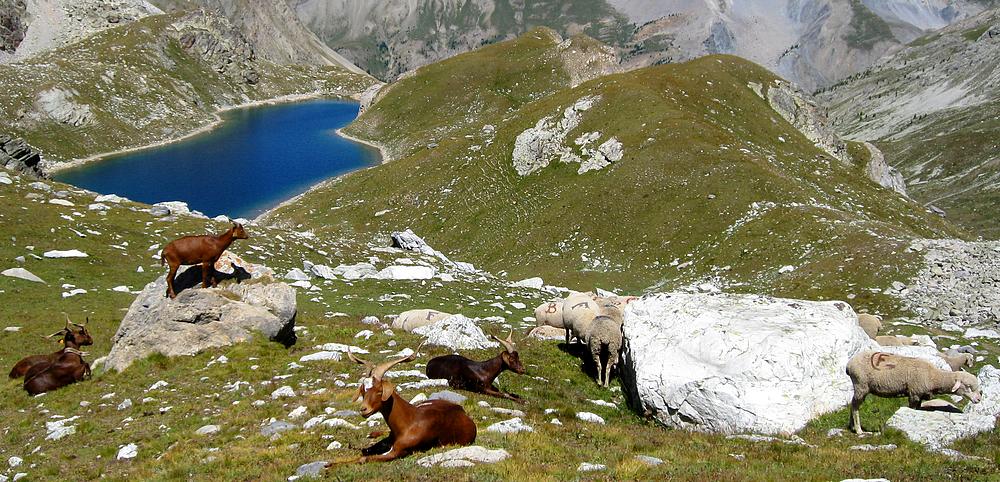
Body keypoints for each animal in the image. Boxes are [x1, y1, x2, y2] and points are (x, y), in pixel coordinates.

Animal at [846, 351, 982, 434]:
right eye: (968, 386)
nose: (979, 399)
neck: (934, 377)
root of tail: (849, 364)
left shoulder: (920, 396)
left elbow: (918, 409)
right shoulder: (914, 394)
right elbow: (912, 409)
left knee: (853, 404)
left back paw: (852, 426)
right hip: (861, 385)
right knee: (855, 406)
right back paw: (859, 430)